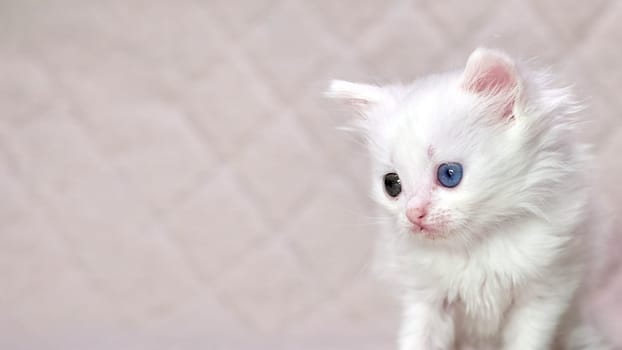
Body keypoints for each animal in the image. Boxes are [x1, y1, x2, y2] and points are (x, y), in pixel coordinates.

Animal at [330, 49, 612, 350]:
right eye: (392, 185)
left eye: (449, 174)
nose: (413, 213)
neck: (476, 247)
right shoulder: (424, 299)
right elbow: (417, 340)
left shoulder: (544, 293)